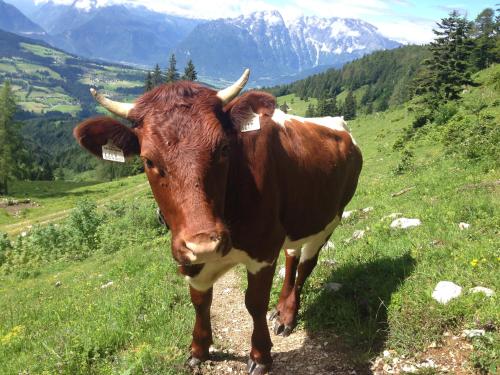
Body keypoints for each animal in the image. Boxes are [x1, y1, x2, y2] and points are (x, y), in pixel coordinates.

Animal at [74, 69, 362, 374]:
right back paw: (282, 310)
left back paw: (288, 314)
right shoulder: (187, 253)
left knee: (307, 264)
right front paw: (199, 349)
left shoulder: (263, 249)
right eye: (148, 160)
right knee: (292, 255)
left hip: (330, 219)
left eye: (223, 148)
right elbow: (200, 300)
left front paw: (260, 355)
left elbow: (254, 303)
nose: (205, 245)